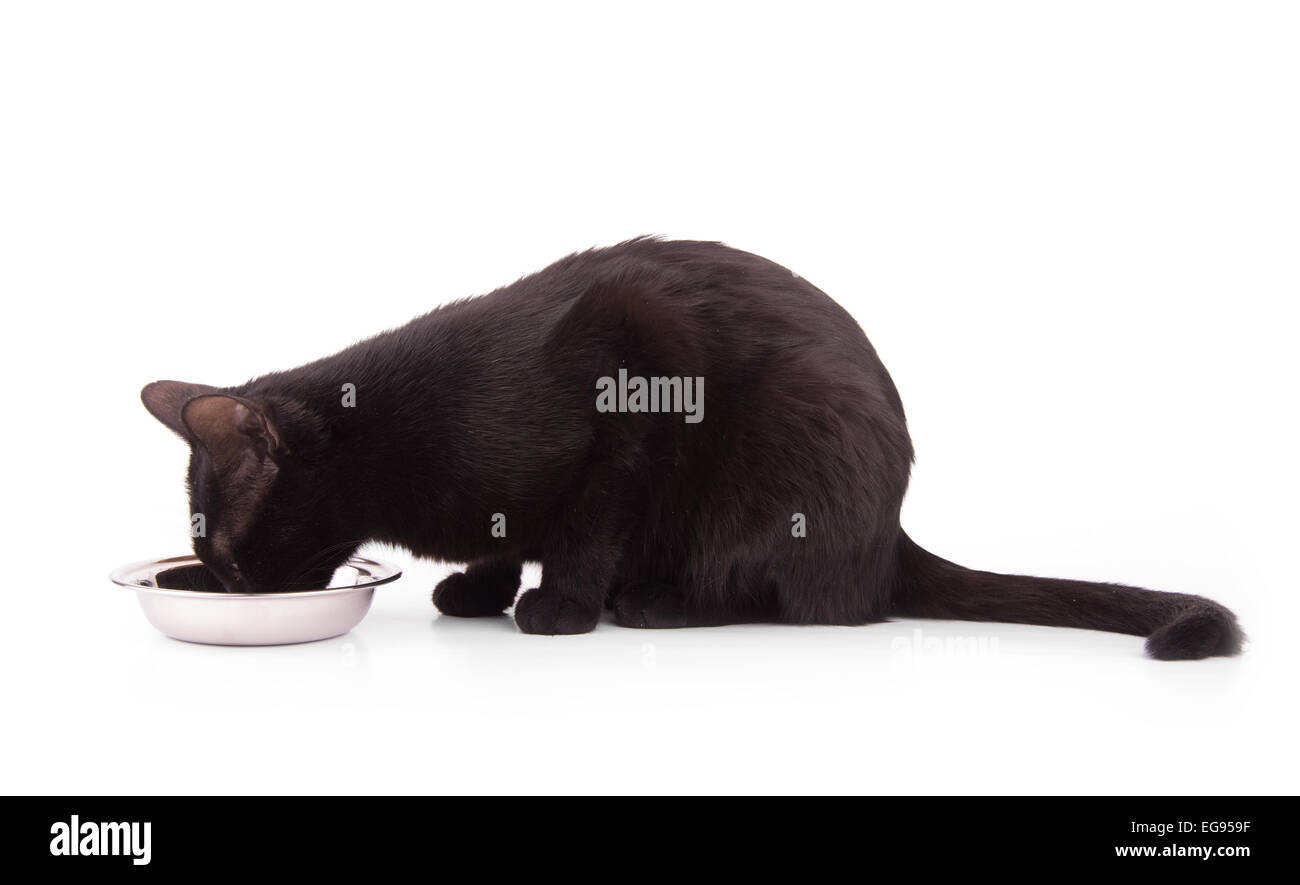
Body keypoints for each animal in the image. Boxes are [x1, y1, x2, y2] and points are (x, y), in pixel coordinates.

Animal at [139, 235, 1237, 654]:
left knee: (796, 597)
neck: (397, 438)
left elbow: (584, 528)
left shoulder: (632, 383)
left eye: (224, 550)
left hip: (779, 464)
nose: (225, 587)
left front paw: (558, 608)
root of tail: (891, 534)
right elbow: (506, 530)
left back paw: (655, 601)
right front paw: (482, 587)